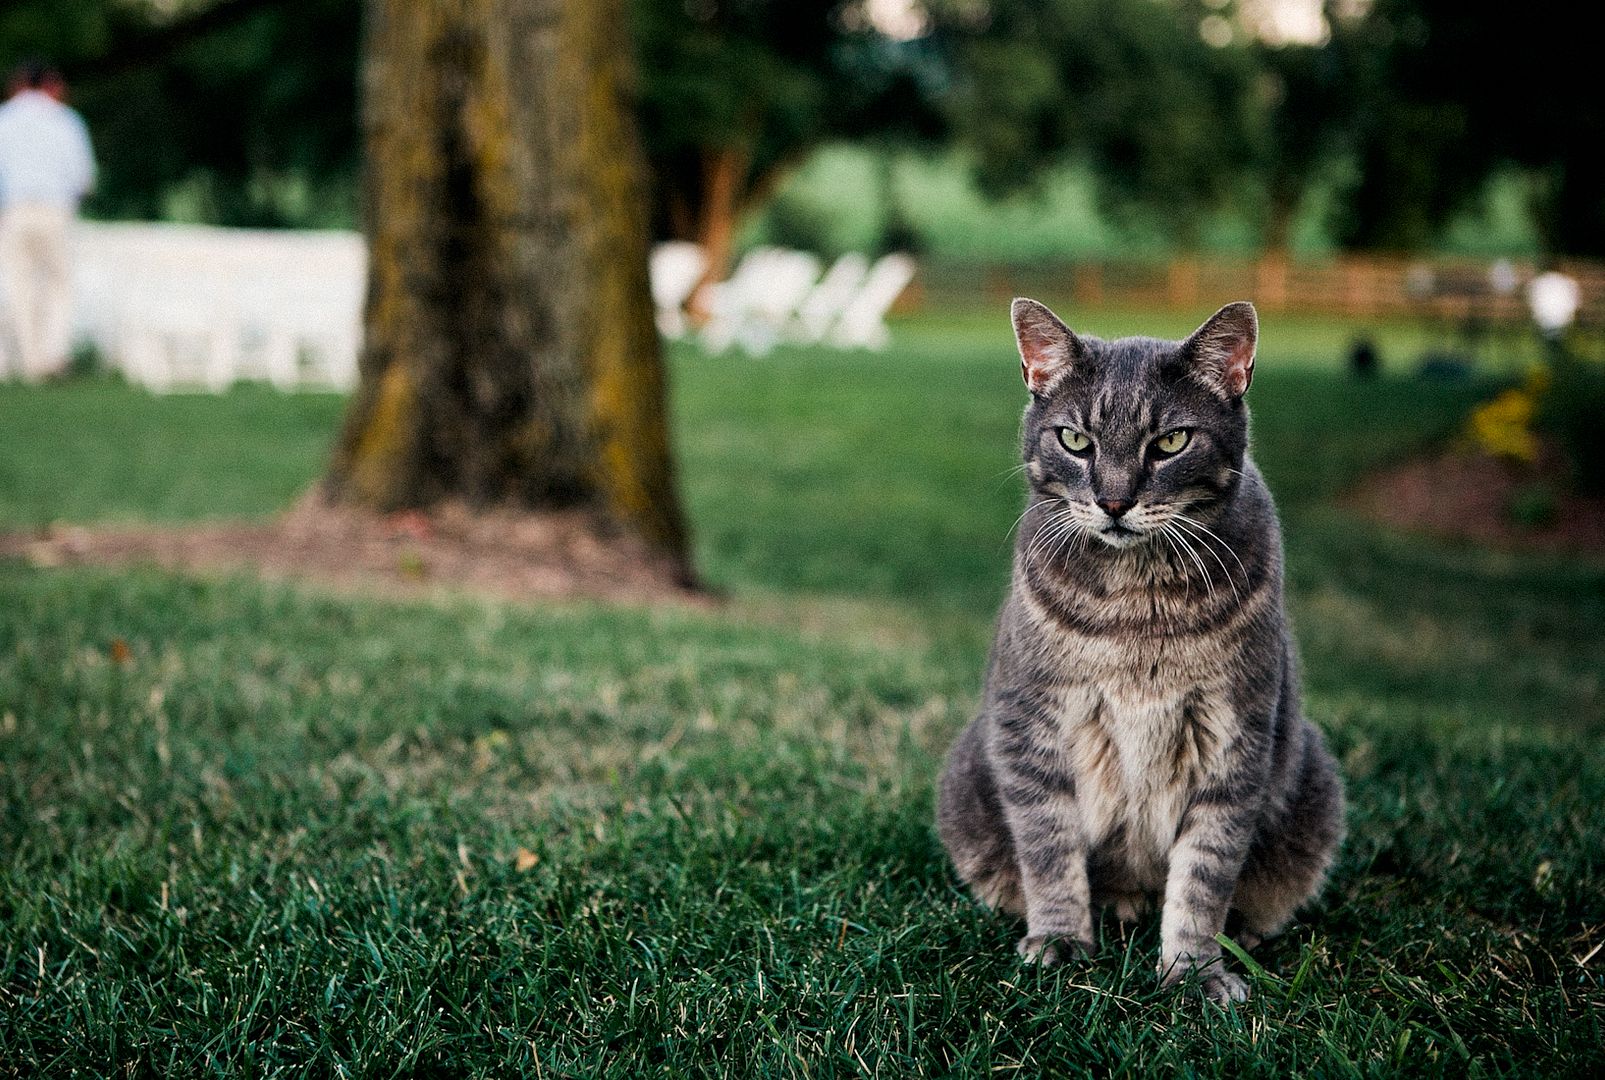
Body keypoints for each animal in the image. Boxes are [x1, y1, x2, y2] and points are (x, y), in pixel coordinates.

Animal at [937, 296, 1348, 1001]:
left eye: (1171, 443)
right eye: (1076, 440)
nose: (1114, 500)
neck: (1138, 605)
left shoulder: (1234, 737)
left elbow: (1204, 876)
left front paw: (1196, 971)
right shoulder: (1030, 728)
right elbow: (1048, 848)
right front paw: (1060, 942)